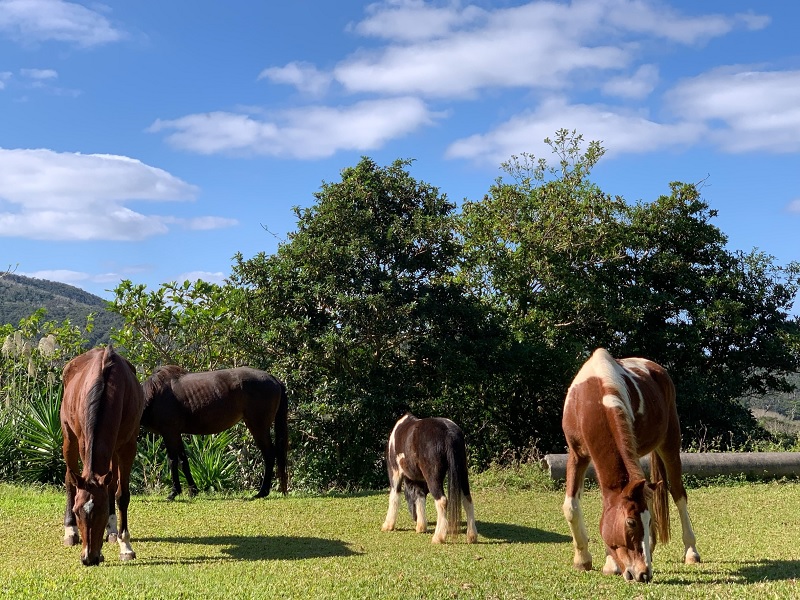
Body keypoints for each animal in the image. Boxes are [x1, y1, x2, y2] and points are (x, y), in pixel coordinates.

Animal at [60, 345, 144, 566]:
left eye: (102, 512)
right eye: (77, 511)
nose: (88, 557)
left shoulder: (127, 446)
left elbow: (121, 494)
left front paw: (126, 546)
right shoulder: (83, 442)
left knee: (111, 483)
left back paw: (113, 531)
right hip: (68, 437)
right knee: (70, 479)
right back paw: (70, 532)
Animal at [141, 365, 288, 500]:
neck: (155, 395)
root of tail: (273, 379)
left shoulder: (169, 433)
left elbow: (172, 460)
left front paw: (174, 493)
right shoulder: (176, 434)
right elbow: (183, 460)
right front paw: (193, 491)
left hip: (258, 426)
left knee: (269, 455)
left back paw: (262, 492)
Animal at [381, 414, 478, 544]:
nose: (414, 517)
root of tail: (448, 432)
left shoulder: (395, 472)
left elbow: (394, 497)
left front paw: (388, 525)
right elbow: (420, 497)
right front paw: (421, 527)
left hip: (433, 476)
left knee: (442, 501)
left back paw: (438, 537)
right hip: (462, 473)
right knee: (467, 499)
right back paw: (471, 536)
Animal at [561, 348, 701, 582]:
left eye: (648, 522)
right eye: (631, 522)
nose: (643, 573)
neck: (593, 398)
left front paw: (610, 563)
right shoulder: (577, 454)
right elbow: (571, 507)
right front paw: (583, 560)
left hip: (669, 443)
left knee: (679, 494)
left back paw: (691, 552)